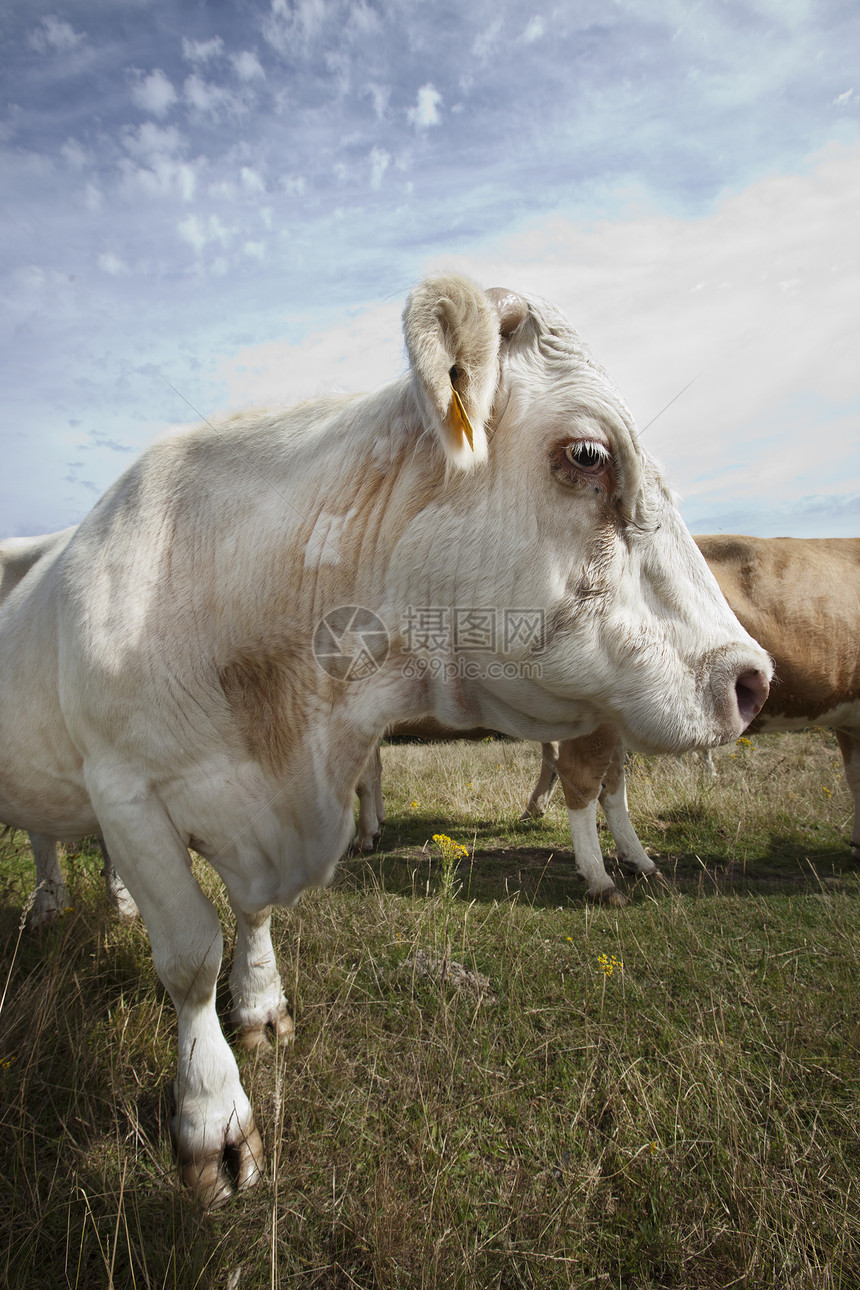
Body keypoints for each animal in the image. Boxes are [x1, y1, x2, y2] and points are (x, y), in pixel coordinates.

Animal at [0, 277, 773, 1202]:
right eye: (588, 455)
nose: (752, 681)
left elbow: (253, 914)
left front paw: (259, 1006)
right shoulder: (127, 791)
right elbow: (188, 955)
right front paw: (214, 1121)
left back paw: (108, 905)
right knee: (44, 838)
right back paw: (50, 905)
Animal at [526, 528, 860, 903]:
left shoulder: (850, 722)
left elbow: (854, 776)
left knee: (610, 783)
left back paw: (636, 860)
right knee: (582, 777)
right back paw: (600, 878)